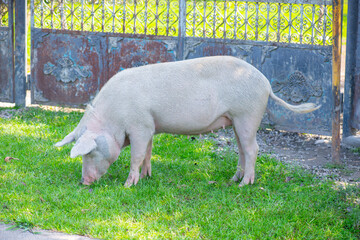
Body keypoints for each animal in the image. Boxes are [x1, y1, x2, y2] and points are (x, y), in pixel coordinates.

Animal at [54, 55, 320, 187]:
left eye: (89, 152)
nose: (83, 182)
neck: (114, 118)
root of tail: (266, 83)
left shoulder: (140, 125)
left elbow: (136, 156)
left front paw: (129, 185)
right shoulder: (150, 125)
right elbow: (149, 152)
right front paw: (148, 177)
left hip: (247, 114)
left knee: (253, 149)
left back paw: (244, 184)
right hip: (236, 120)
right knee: (243, 150)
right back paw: (233, 179)